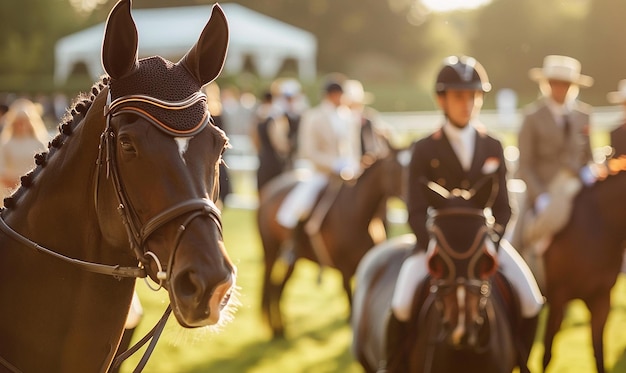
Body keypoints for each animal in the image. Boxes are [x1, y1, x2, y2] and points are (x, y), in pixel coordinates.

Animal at [256, 145, 408, 338]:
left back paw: (280, 329)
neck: (358, 214)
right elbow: (350, 303)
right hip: (270, 251)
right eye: (394, 168)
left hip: (293, 261)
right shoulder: (345, 269)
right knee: (269, 285)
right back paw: (275, 330)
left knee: (277, 288)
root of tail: (267, 191)